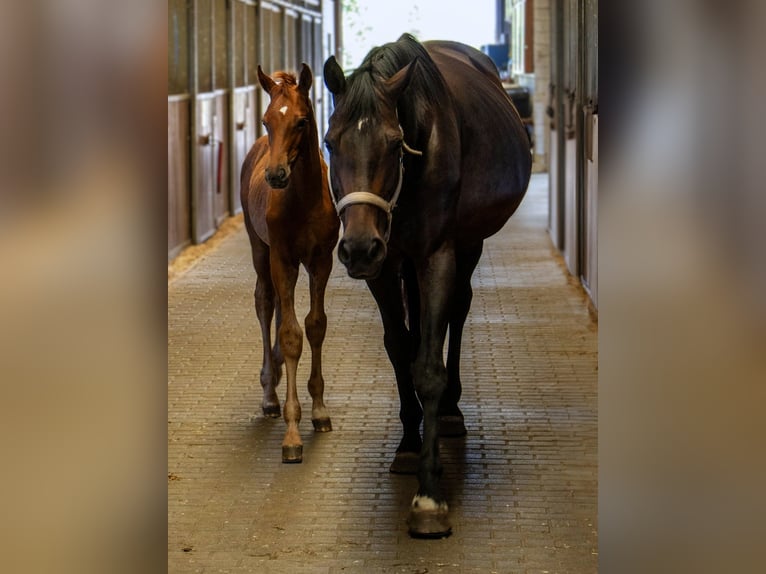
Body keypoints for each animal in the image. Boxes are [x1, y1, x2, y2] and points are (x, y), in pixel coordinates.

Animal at [323, 34, 531, 537]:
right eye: (330, 142)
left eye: (395, 143)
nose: (357, 247)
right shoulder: (385, 267)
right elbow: (402, 349)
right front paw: (408, 444)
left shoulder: (438, 255)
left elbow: (430, 368)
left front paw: (429, 497)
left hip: (468, 244)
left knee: (458, 310)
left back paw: (452, 412)